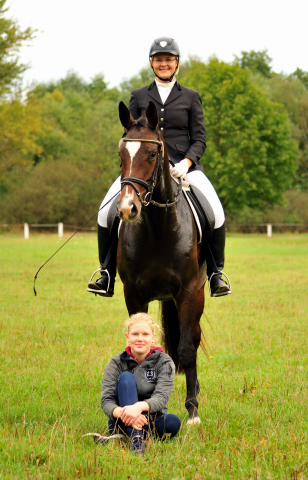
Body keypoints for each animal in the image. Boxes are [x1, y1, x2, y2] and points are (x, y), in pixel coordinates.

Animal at [116, 101, 208, 424]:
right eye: (120, 156)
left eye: (152, 154)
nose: (127, 209)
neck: (158, 228)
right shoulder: (133, 293)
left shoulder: (189, 291)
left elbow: (186, 349)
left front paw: (192, 411)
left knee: (192, 338)